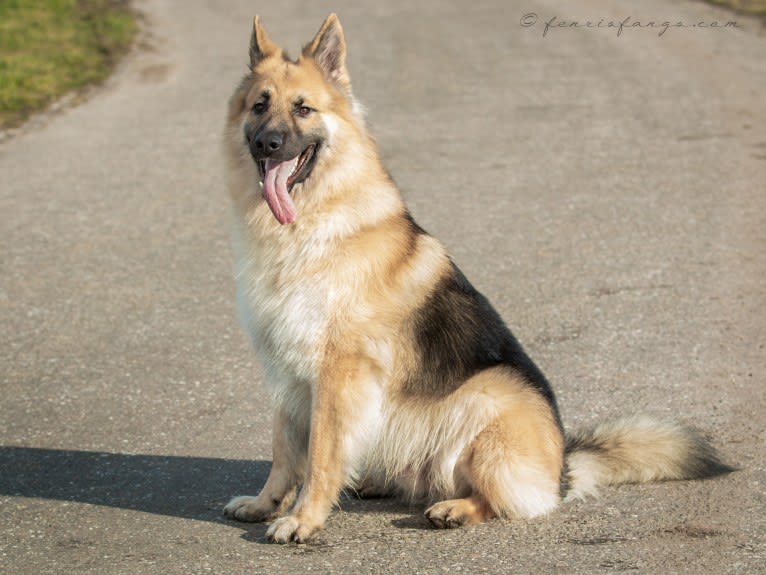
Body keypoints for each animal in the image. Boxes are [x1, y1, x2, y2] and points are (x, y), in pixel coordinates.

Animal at [220, 13, 732, 544]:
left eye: (303, 109)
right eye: (260, 105)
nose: (266, 144)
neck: (313, 221)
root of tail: (563, 466)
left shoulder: (337, 374)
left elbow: (321, 455)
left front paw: (303, 518)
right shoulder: (288, 375)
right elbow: (285, 451)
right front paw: (265, 504)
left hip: (487, 397)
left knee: (510, 499)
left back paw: (455, 508)